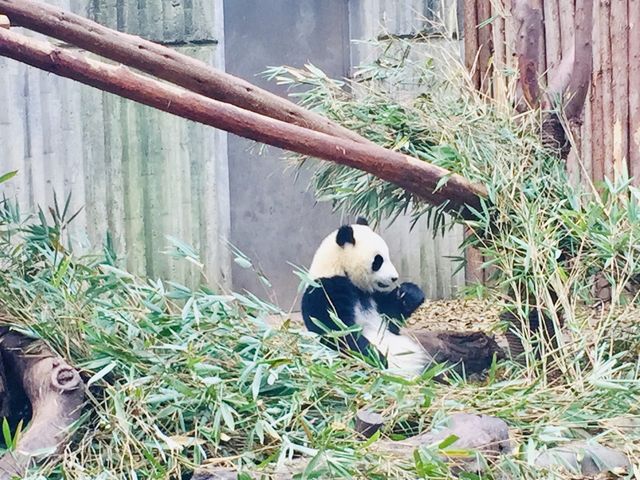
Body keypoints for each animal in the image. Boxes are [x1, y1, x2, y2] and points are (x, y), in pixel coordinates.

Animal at [302, 218, 432, 378]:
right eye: (378, 261)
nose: (394, 278)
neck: (339, 269)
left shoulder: (373, 297)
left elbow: (391, 317)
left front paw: (410, 293)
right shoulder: (326, 291)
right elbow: (338, 332)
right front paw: (378, 359)